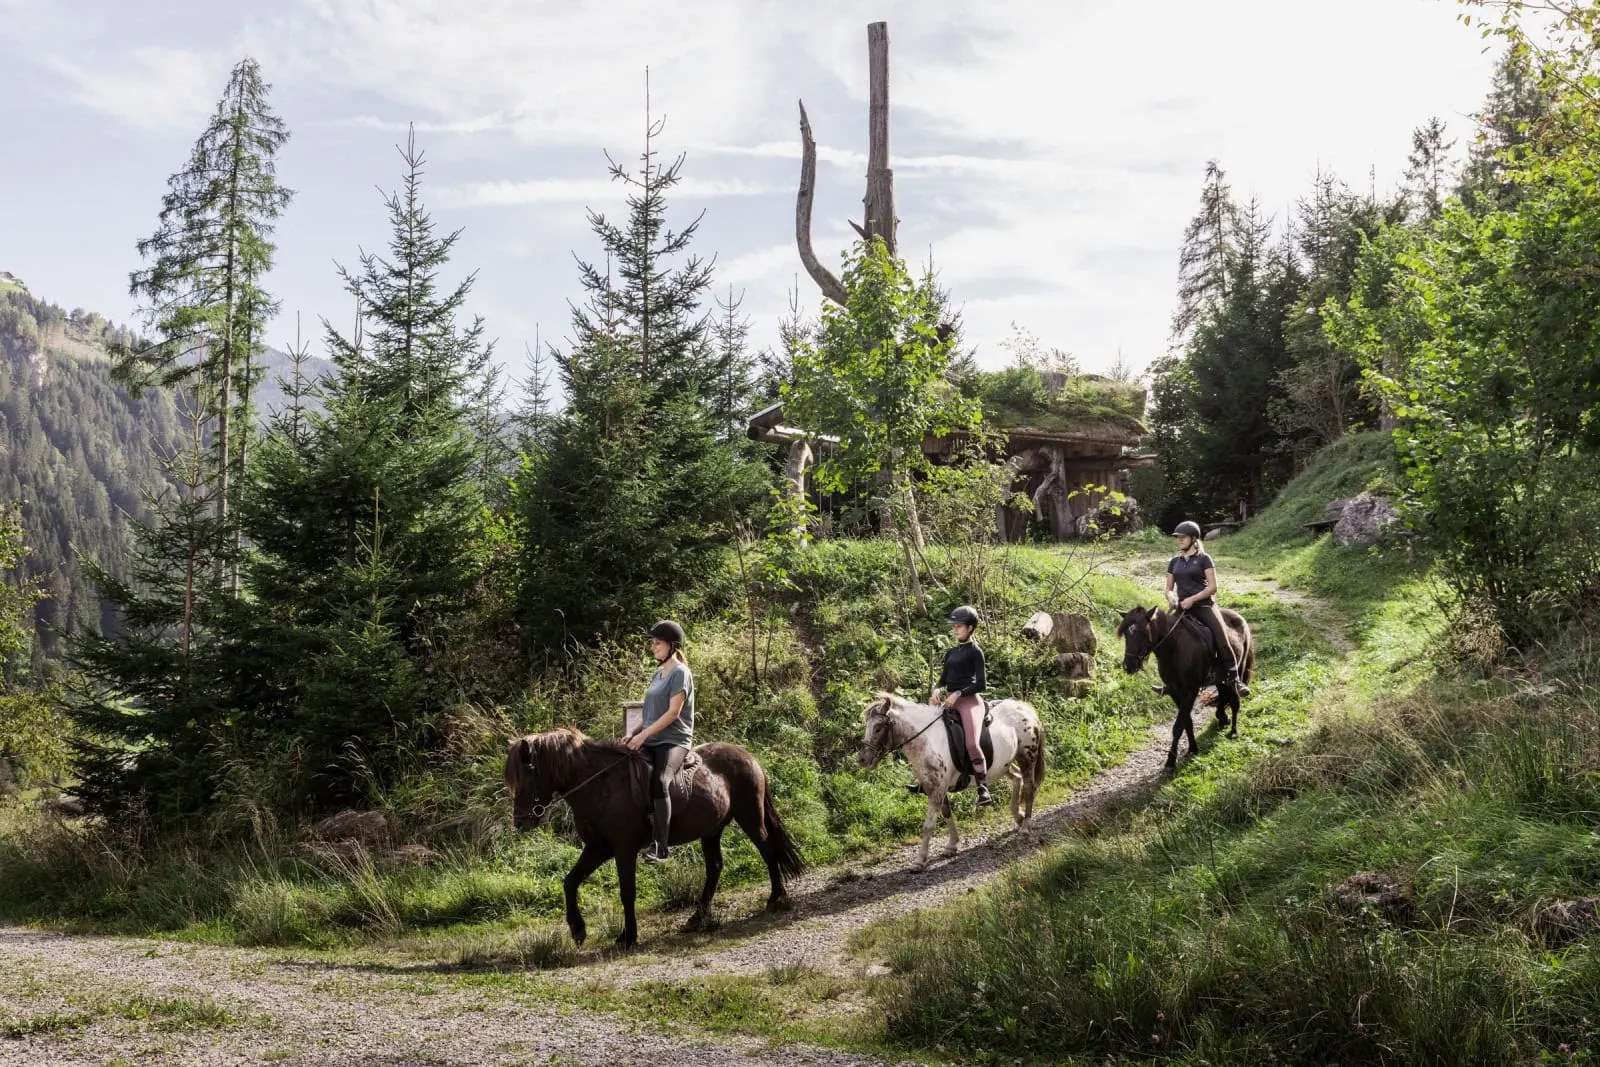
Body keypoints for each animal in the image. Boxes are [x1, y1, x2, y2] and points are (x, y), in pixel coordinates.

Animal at [505, 729, 806, 947]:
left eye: (526, 777)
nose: (520, 822)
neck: (600, 785)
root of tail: (748, 756)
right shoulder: (598, 848)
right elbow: (570, 882)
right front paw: (578, 930)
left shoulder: (623, 849)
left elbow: (627, 892)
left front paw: (628, 938)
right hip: (711, 830)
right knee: (715, 867)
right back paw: (698, 917)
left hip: (749, 817)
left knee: (767, 849)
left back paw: (776, 897)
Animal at [857, 694, 1043, 876]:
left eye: (878, 727)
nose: (862, 759)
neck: (927, 740)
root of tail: (1024, 708)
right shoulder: (936, 786)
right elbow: (947, 814)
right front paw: (951, 846)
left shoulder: (937, 789)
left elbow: (928, 825)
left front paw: (919, 861)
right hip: (1003, 765)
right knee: (1017, 777)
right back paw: (1018, 816)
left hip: (1027, 756)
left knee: (1029, 787)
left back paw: (1025, 827)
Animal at [1113, 604, 1248, 771]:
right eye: (1126, 633)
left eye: (1143, 631)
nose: (1128, 666)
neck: (1174, 647)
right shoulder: (1174, 692)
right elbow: (1187, 722)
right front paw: (1193, 749)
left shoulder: (1190, 691)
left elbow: (1178, 726)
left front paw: (1171, 761)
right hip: (1220, 680)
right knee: (1224, 695)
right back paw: (1223, 718)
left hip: (1236, 671)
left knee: (1235, 700)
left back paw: (1234, 731)